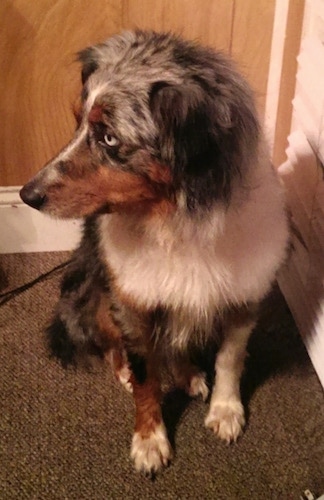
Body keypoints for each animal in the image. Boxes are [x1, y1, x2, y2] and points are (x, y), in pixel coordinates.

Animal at [20, 29, 288, 474]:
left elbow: (230, 359)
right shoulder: (134, 302)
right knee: (115, 346)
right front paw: (149, 440)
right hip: (96, 298)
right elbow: (147, 379)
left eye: (109, 137)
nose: (27, 195)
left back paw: (189, 375)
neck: (177, 224)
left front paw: (226, 410)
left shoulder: (243, 295)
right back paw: (129, 370)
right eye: (78, 122)